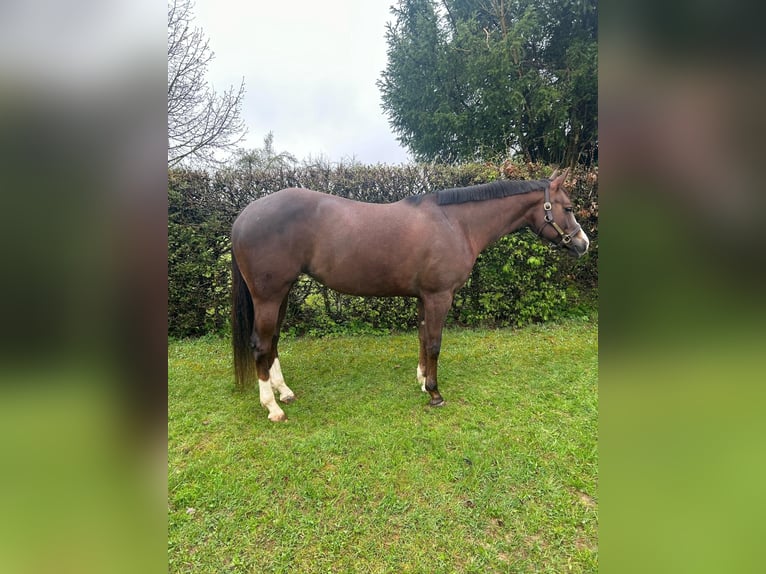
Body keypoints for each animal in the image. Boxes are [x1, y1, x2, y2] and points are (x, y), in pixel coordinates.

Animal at [231, 169, 589, 421]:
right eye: (569, 207)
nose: (583, 244)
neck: (456, 223)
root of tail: (245, 215)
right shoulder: (439, 296)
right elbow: (434, 343)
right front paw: (434, 393)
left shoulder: (423, 297)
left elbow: (421, 337)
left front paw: (421, 379)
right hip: (269, 296)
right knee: (260, 344)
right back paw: (273, 407)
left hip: (283, 293)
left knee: (273, 341)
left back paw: (284, 391)